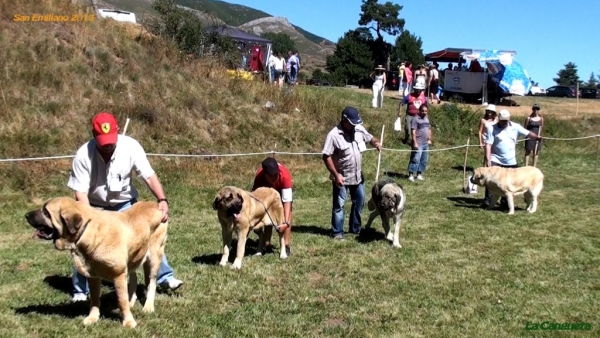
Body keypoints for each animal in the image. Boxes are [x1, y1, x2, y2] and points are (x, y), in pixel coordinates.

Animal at [24, 197, 168, 328]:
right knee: (134, 277)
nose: (26, 215)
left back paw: (148, 306)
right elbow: (94, 299)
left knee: (152, 282)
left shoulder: (118, 274)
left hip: (155, 256)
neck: (87, 229)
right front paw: (93, 318)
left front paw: (128, 322)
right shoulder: (93, 276)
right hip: (134, 256)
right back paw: (131, 301)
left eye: (46, 212)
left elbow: (121, 301)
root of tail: (155, 204)